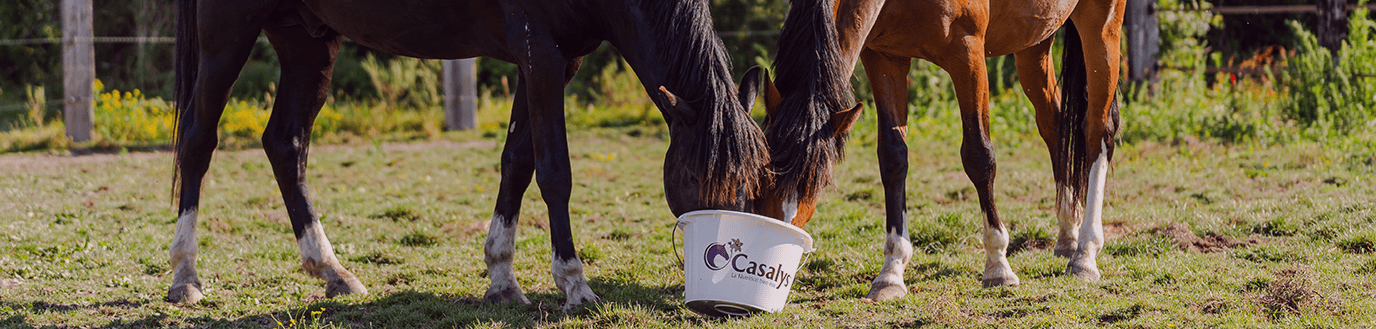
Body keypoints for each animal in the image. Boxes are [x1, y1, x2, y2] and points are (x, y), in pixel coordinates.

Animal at [166, 0, 770, 311]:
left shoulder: (556, 60)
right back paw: (185, 277)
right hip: (226, 33)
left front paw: (502, 278)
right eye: (697, 177)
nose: (722, 296)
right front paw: (574, 285)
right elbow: (555, 172)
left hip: (306, 40)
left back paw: (332, 272)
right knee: (198, 140)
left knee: (286, 143)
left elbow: (517, 163)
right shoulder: (541, 54)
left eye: (751, 182)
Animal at [759, 0, 1122, 300]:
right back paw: (1068, 234)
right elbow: (893, 158)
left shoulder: (967, 53)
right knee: (1055, 125)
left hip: (1101, 25)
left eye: (816, 180)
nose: (780, 231)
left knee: (1096, 132)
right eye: (762, 177)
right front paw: (891, 272)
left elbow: (979, 156)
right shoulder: (885, 58)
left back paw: (1085, 254)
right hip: (1034, 42)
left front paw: (998, 265)